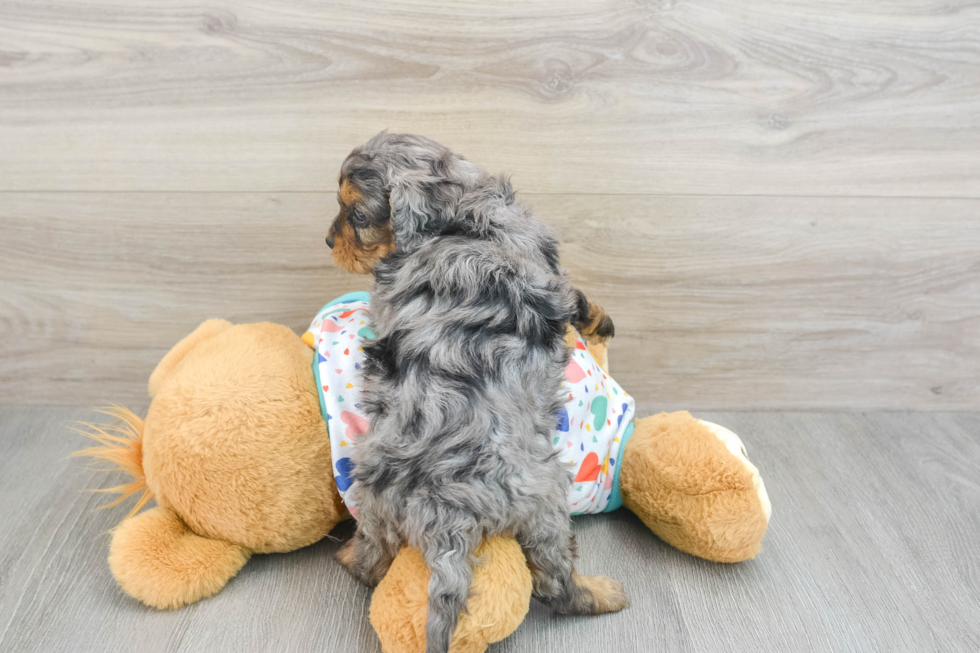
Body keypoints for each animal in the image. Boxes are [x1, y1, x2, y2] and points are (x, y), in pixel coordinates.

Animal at [326, 132, 624, 652]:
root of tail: (445, 513)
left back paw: (349, 556)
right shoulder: (551, 273)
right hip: (545, 498)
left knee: (371, 559)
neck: (458, 219)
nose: (328, 240)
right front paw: (603, 323)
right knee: (554, 583)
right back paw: (600, 592)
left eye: (356, 216)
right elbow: (583, 303)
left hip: (376, 499)